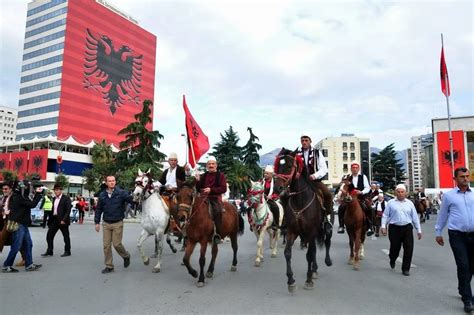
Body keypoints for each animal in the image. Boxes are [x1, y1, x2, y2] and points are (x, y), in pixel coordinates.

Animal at [272, 148, 332, 294]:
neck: (300, 201)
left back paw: (326, 261)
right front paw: (291, 281)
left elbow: (309, 254)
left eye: (289, 166)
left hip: (323, 228)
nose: (277, 188)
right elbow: (288, 253)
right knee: (314, 249)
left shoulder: (311, 231)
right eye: (278, 165)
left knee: (326, 240)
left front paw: (308, 280)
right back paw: (314, 269)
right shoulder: (292, 231)